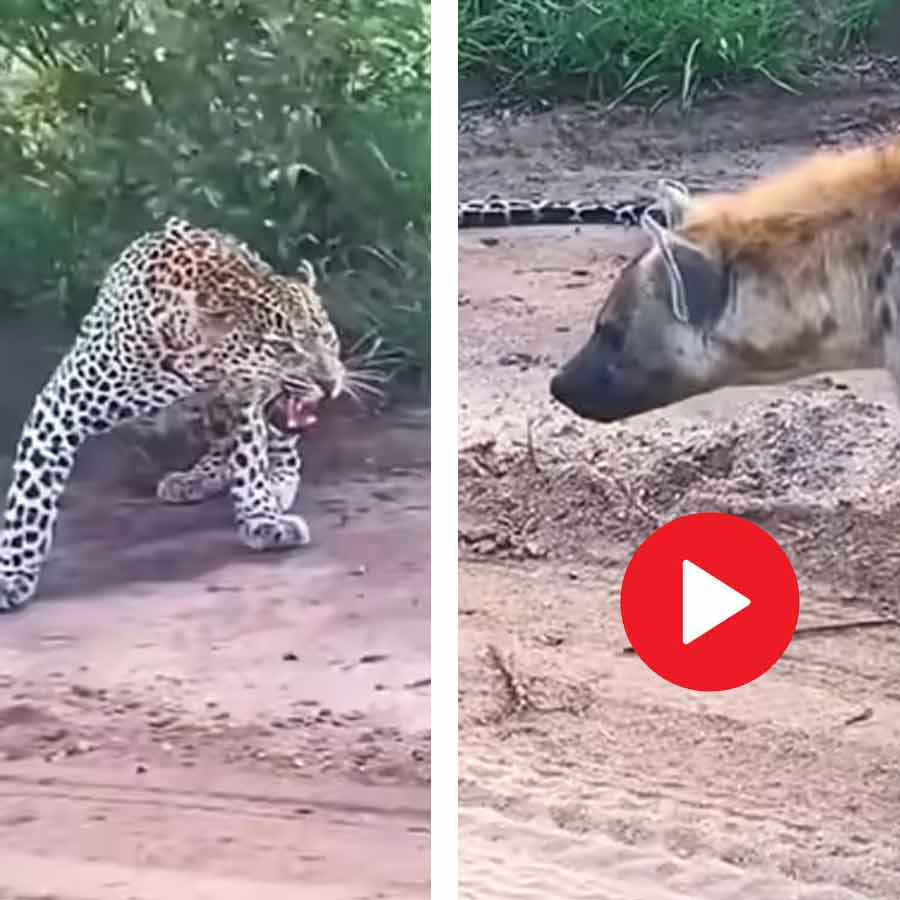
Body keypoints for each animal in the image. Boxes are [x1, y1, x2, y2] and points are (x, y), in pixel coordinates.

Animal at [0, 216, 346, 611]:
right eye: (283, 347)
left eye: (327, 337)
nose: (330, 382)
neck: (199, 358)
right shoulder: (62, 408)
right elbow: (31, 497)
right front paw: (13, 574)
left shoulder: (243, 405)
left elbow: (250, 462)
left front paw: (263, 519)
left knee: (279, 449)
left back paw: (267, 483)